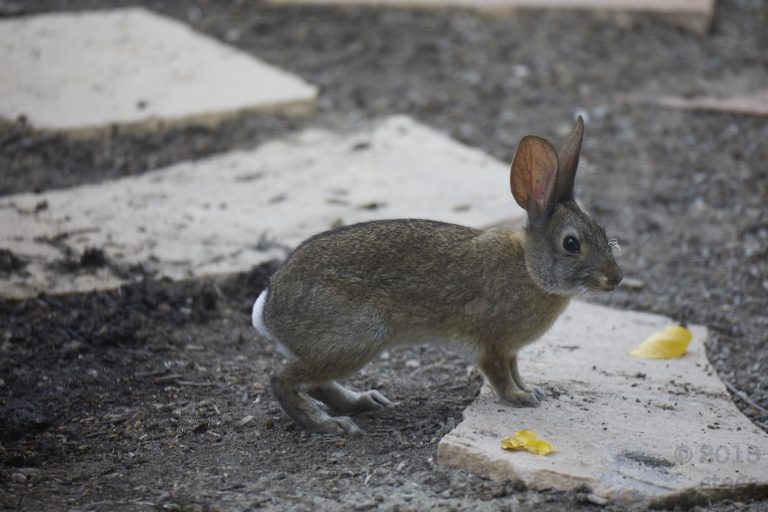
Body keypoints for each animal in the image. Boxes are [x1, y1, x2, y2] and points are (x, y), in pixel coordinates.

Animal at [252, 117, 622, 436]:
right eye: (571, 244)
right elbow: (499, 376)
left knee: (315, 382)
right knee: (281, 379)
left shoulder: (511, 350)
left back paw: (364, 402)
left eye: (603, 232)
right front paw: (521, 398)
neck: (530, 270)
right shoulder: (491, 342)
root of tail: (268, 310)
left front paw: (532, 389)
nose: (615, 278)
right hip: (358, 335)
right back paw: (330, 424)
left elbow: (516, 371)